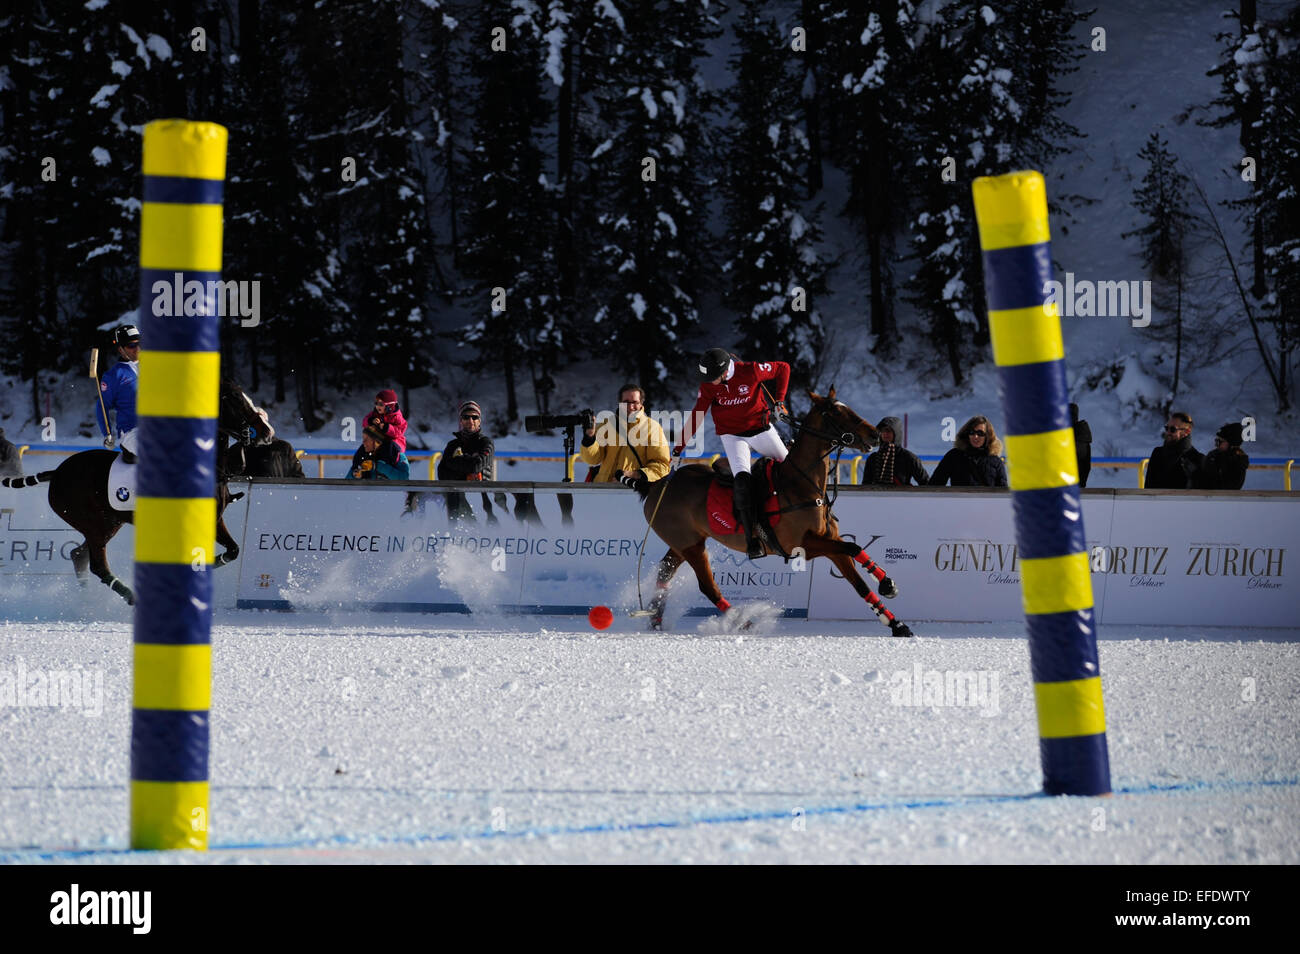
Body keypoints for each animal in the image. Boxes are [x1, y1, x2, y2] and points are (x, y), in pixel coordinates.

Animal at [0, 376, 297, 600]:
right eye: (233, 398)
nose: (267, 431)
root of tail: (58, 472)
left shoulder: (215, 518)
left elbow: (233, 550)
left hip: (107, 522)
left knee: (78, 555)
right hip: (94, 523)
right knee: (96, 564)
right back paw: (129, 596)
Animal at [637, 389, 915, 642]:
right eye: (836, 412)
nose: (875, 434)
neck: (802, 483)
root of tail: (656, 486)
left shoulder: (831, 544)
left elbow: (859, 578)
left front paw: (895, 619)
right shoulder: (803, 545)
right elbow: (854, 547)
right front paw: (887, 585)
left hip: (685, 542)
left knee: (665, 573)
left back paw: (656, 621)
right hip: (691, 546)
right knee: (708, 587)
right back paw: (744, 622)